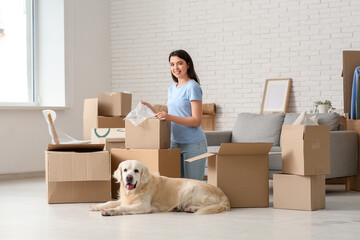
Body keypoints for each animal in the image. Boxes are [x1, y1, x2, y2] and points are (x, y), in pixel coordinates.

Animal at [90, 160, 231, 215]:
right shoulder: (125, 199)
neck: (137, 189)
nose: (129, 177)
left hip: (191, 189)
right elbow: (110, 202)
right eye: (125, 170)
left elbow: (121, 207)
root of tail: (223, 194)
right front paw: (97, 206)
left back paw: (191, 208)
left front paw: (110, 211)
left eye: (136, 171)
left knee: (208, 206)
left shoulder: (143, 206)